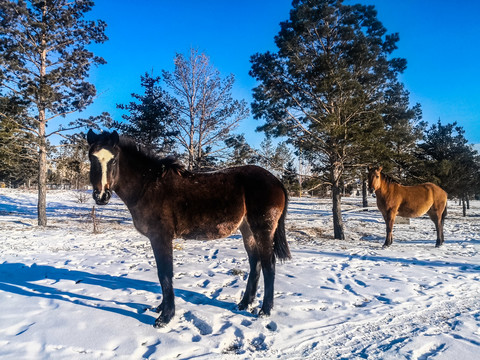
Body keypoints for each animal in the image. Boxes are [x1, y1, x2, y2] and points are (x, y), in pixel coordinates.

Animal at [86, 131, 290, 328]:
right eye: (91, 158)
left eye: (113, 160)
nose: (101, 196)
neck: (148, 186)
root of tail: (276, 181)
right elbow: (162, 274)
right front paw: (161, 308)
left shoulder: (161, 238)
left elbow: (165, 274)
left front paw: (165, 317)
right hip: (247, 230)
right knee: (255, 262)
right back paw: (244, 303)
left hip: (263, 230)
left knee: (268, 265)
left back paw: (265, 310)